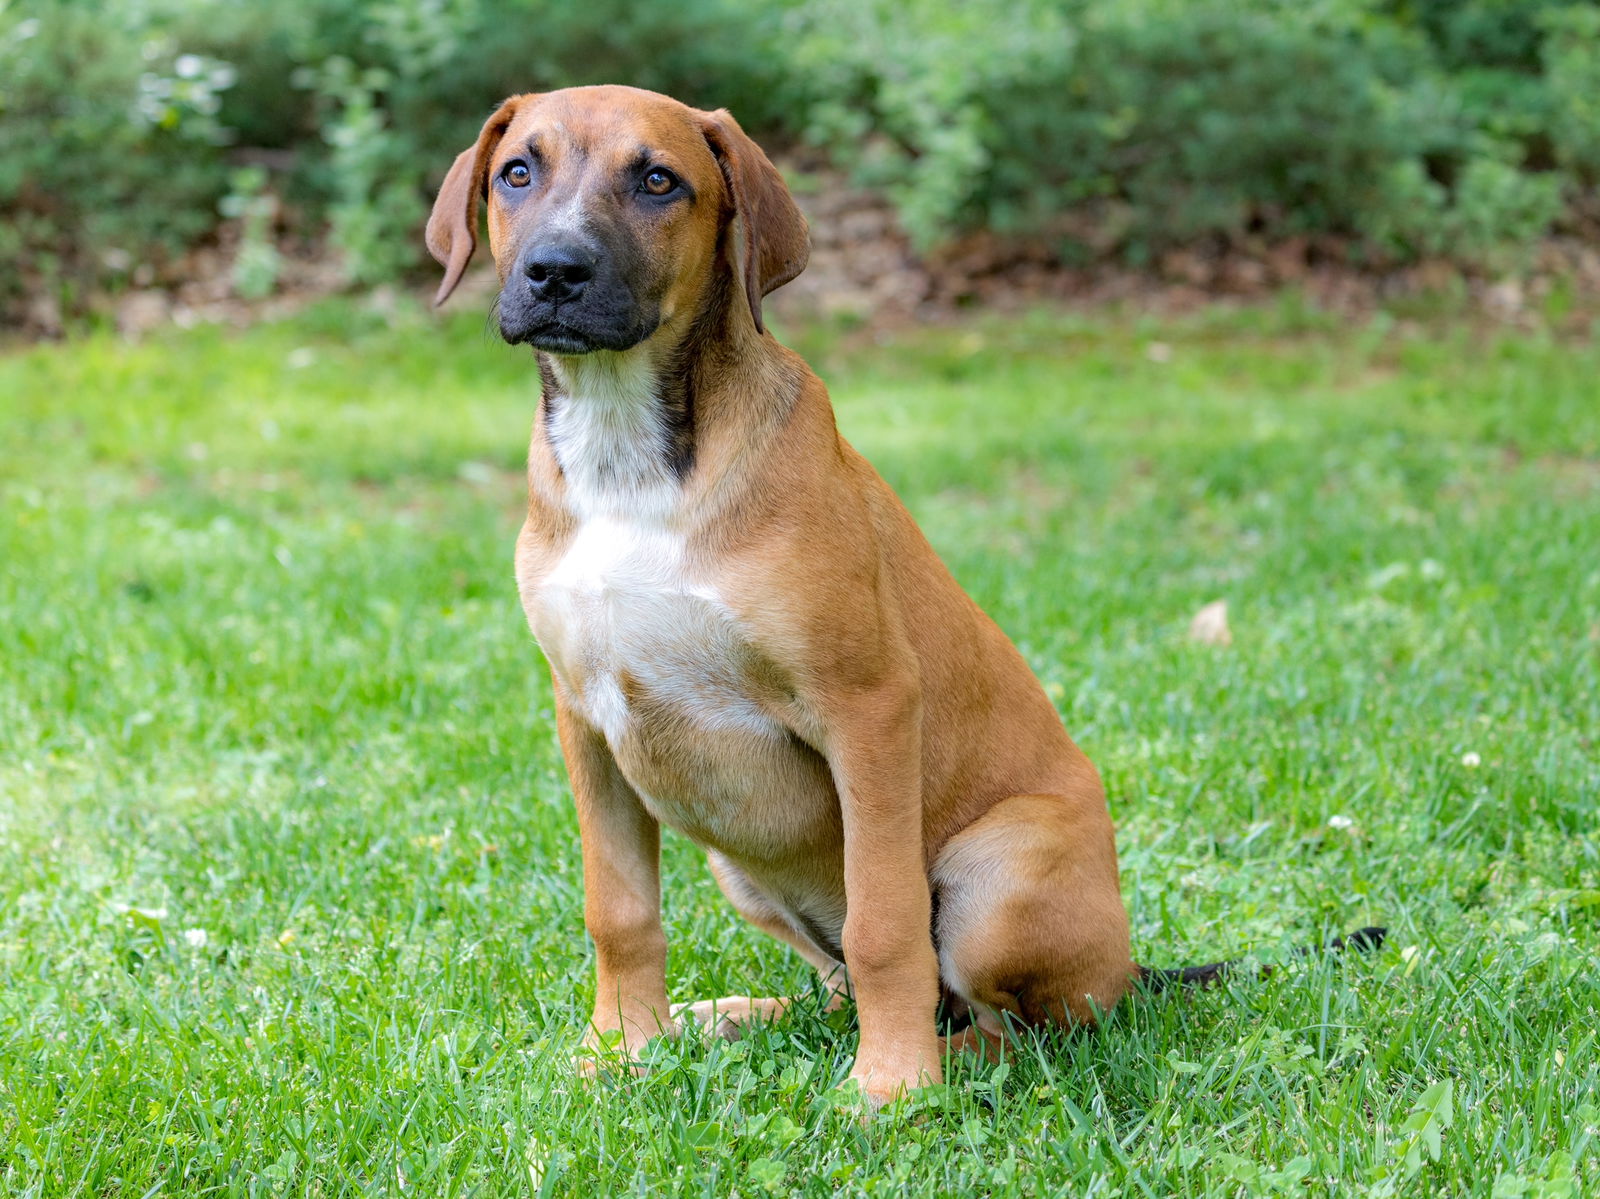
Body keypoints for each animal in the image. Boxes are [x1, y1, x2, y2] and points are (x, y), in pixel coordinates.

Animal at [419, 86, 1196, 1101]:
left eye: (658, 180)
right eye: (518, 172)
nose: (554, 270)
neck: (629, 457)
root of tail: (1134, 970)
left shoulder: (866, 706)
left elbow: (885, 923)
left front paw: (892, 1087)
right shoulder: (584, 720)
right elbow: (619, 911)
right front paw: (619, 1049)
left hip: (998, 874)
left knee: (1012, 1028)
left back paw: (928, 1061)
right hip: (741, 870)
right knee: (834, 992)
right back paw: (724, 1021)